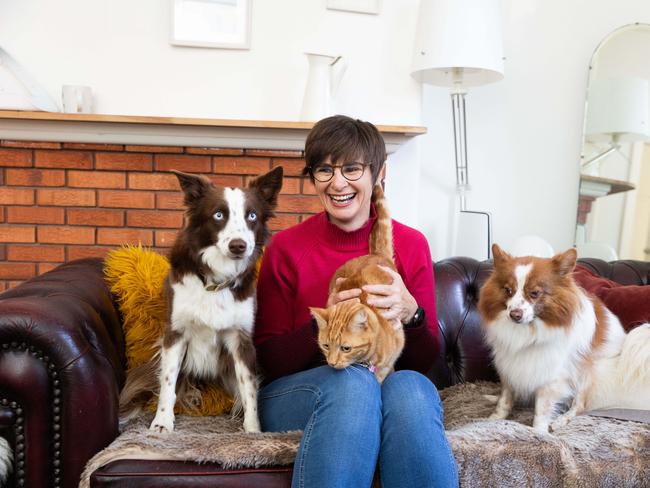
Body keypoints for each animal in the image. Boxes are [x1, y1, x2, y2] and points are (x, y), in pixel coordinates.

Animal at [119, 167, 280, 430]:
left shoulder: (241, 339)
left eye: (252, 216)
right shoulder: (175, 332)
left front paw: (252, 429)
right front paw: (162, 423)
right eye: (218, 215)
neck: (216, 280)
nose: (238, 246)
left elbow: (249, 389)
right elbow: (168, 382)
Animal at [476, 243, 648, 430]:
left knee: (579, 405)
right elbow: (505, 399)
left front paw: (538, 431)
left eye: (535, 293)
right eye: (508, 291)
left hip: (587, 374)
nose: (514, 315)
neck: (529, 331)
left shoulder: (552, 375)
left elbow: (542, 409)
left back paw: (561, 420)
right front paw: (493, 419)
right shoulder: (509, 366)